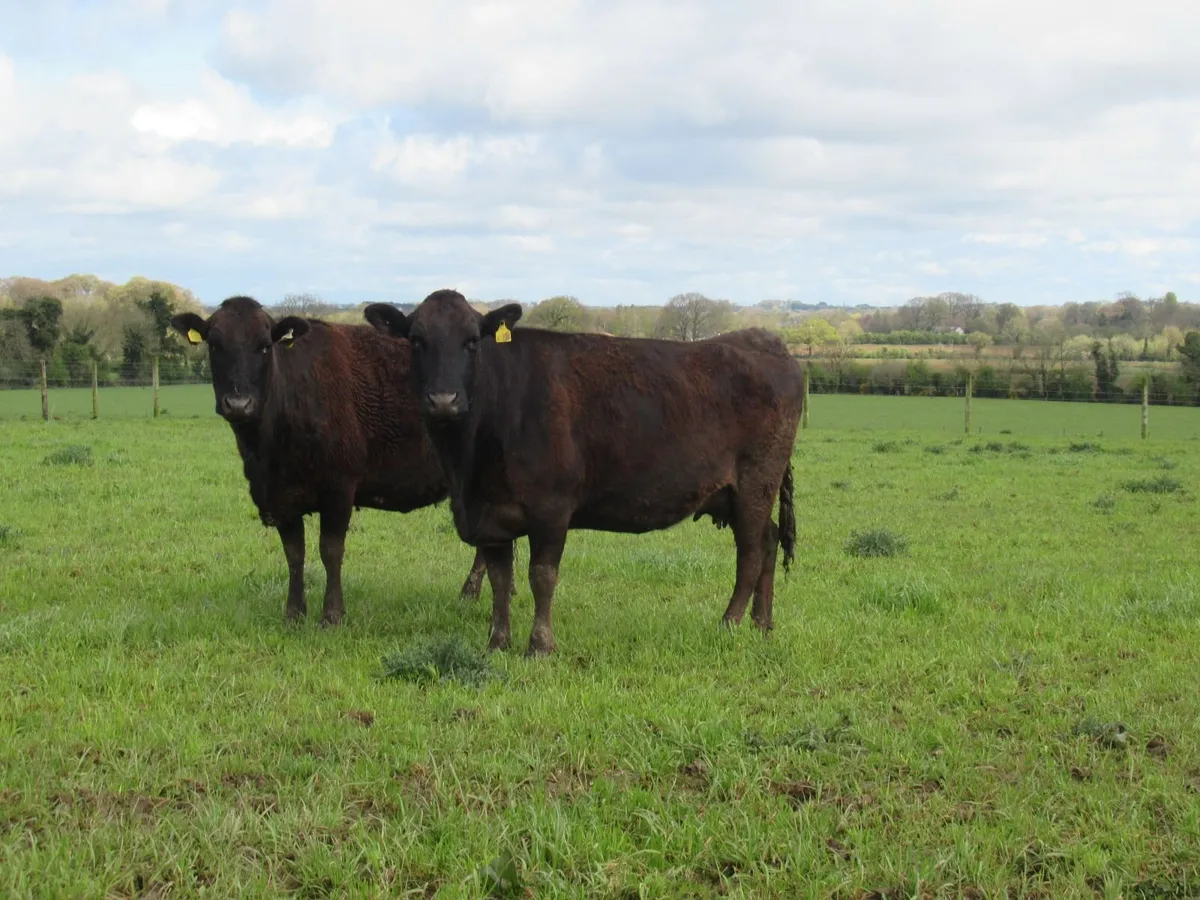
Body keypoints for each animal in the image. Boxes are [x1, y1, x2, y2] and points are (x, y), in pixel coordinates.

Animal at [170, 296, 488, 625]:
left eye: (265, 346)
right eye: (215, 345)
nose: (238, 403)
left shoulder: (339, 489)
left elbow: (331, 550)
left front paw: (332, 614)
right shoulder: (280, 497)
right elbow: (294, 553)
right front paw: (294, 614)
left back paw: (470, 591)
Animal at [363, 289, 802, 656]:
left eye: (472, 341)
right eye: (415, 340)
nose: (443, 399)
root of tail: (763, 339)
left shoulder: (552, 508)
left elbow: (542, 576)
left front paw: (540, 646)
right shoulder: (490, 517)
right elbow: (500, 579)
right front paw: (497, 643)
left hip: (755, 483)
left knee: (750, 552)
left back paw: (729, 623)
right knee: (768, 542)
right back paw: (762, 625)